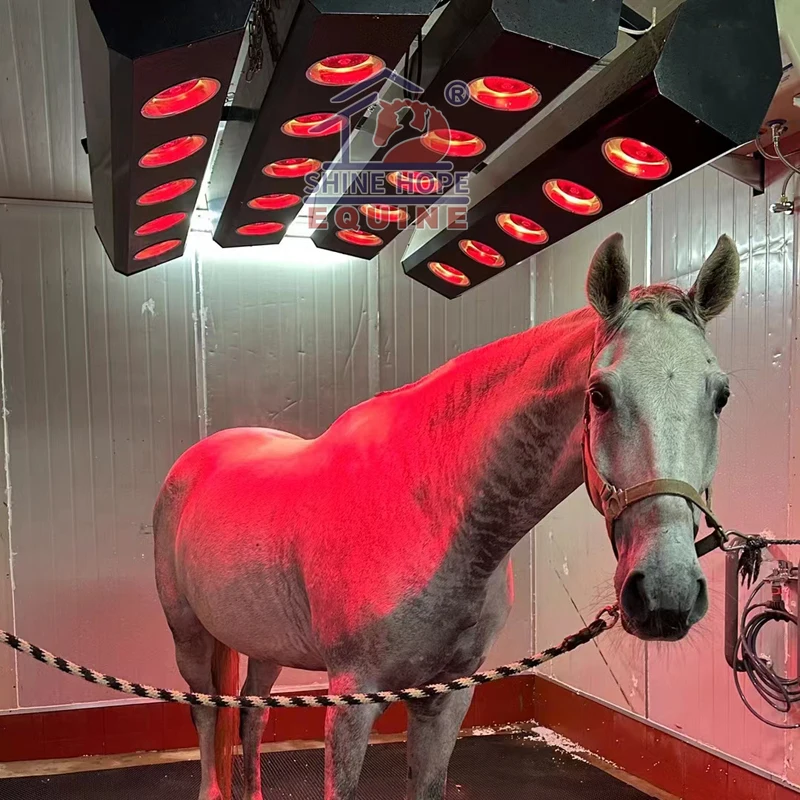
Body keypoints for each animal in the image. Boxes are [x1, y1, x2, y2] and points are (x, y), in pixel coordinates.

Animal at [153, 231, 740, 800]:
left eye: (721, 397)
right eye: (599, 394)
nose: (665, 594)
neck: (431, 510)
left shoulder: (447, 696)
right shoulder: (351, 700)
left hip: (263, 643)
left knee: (251, 714)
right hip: (189, 639)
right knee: (208, 716)